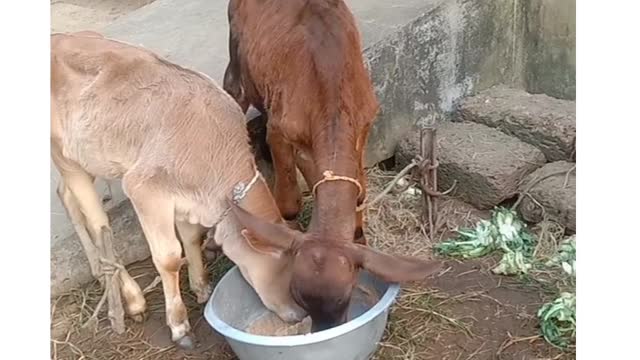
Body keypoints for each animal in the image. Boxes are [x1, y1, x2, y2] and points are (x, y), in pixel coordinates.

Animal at [224, 0, 440, 332]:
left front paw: (358, 232)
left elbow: (359, 190)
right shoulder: (280, 129)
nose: (324, 329)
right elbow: (289, 203)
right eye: (297, 295)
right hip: (237, 62)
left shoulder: (363, 125)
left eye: (346, 295)